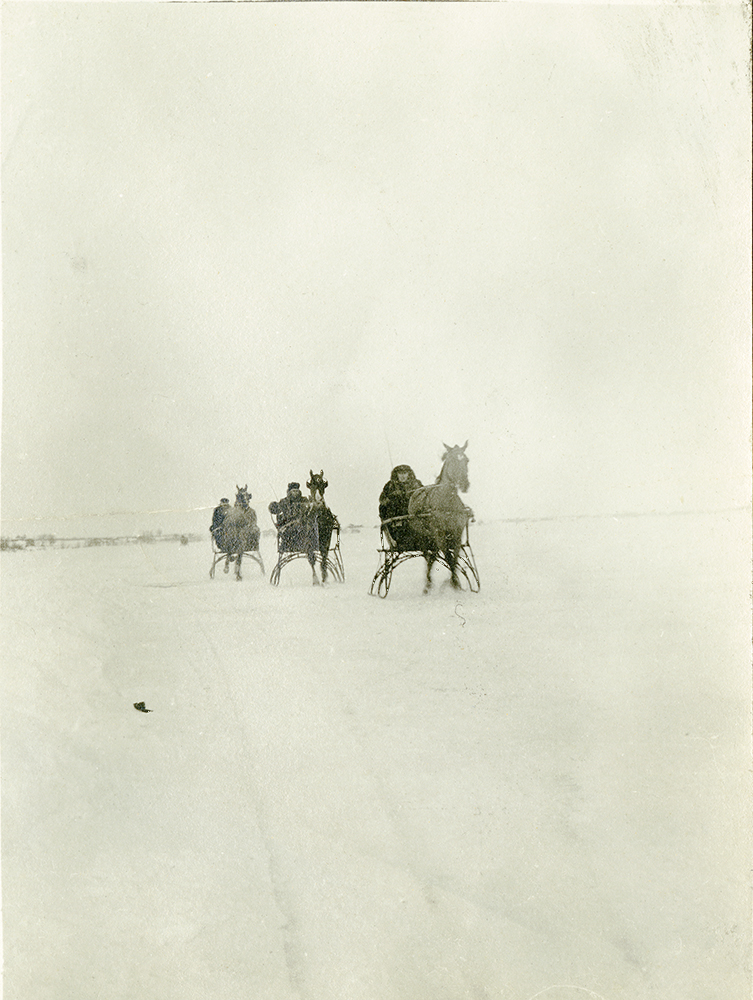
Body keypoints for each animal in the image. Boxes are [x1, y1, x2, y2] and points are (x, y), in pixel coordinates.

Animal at [408, 440, 472, 592]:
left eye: (466, 460)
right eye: (451, 460)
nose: (464, 484)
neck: (447, 503)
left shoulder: (457, 534)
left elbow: (454, 558)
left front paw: (455, 582)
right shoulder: (440, 534)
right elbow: (448, 558)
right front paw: (454, 582)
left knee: (432, 556)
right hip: (423, 536)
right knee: (427, 556)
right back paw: (428, 583)